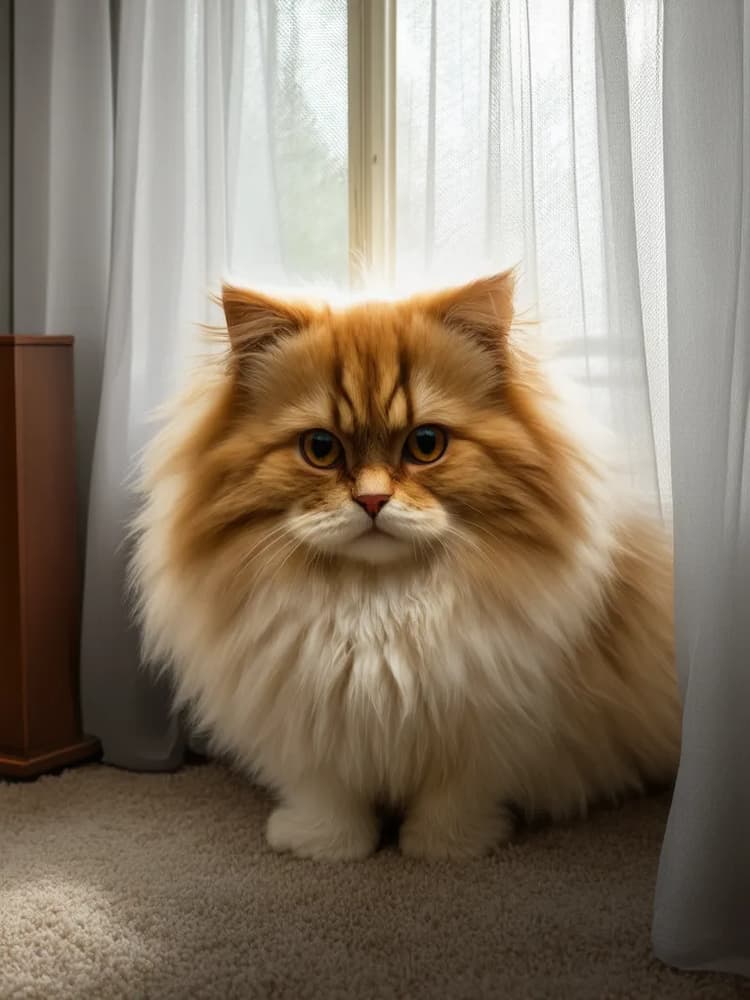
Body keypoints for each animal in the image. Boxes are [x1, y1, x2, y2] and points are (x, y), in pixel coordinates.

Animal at [132, 272, 684, 860]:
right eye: (320, 448)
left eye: (425, 444)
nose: (372, 501)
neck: (377, 606)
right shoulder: (308, 725)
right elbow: (327, 798)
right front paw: (325, 849)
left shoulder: (486, 726)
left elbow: (453, 799)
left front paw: (443, 850)